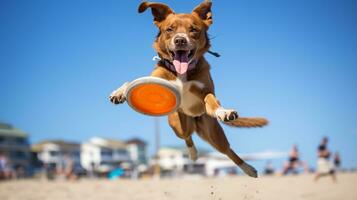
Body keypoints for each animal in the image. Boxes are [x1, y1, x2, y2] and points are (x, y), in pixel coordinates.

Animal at [110, 0, 266, 177]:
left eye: (193, 29)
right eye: (169, 29)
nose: (180, 40)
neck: (181, 72)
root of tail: (193, 121)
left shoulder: (204, 89)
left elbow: (211, 99)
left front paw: (223, 111)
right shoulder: (156, 77)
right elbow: (131, 81)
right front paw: (119, 92)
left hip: (213, 132)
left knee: (227, 150)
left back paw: (248, 168)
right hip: (178, 125)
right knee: (187, 137)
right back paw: (193, 153)